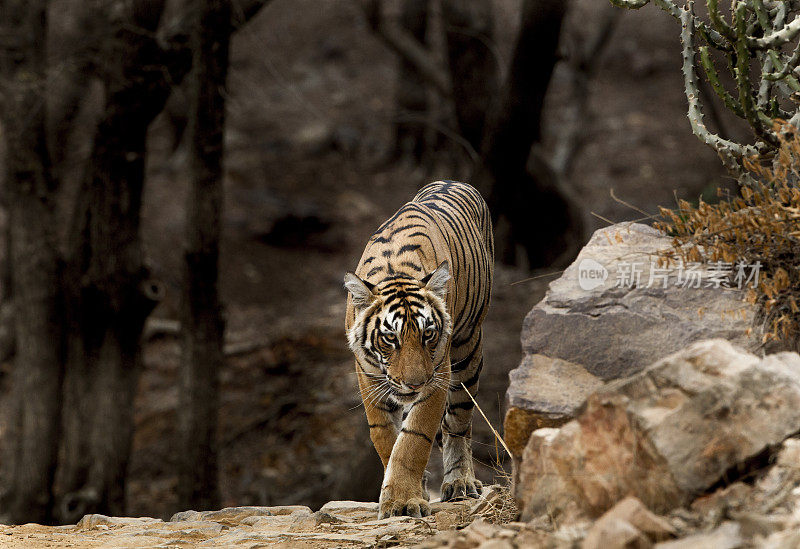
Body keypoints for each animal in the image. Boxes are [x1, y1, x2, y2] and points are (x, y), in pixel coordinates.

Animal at [344, 180, 494, 520]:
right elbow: (386, 437)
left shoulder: (438, 374)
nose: (414, 384)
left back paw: (460, 482)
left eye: (428, 334)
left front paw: (403, 501)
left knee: (459, 425)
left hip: (468, 352)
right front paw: (405, 494)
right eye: (390, 338)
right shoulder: (367, 375)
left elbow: (414, 439)